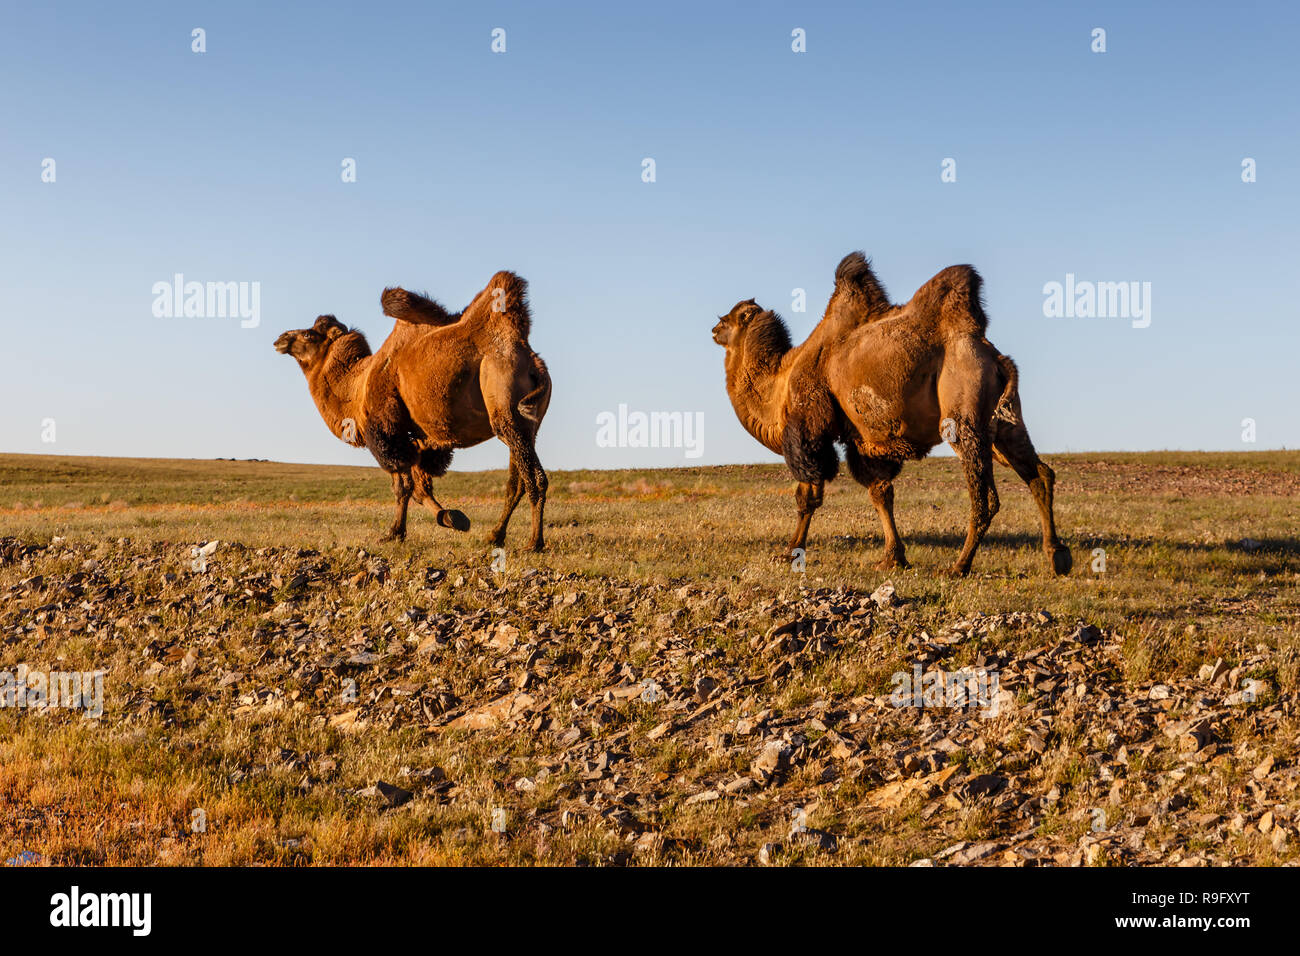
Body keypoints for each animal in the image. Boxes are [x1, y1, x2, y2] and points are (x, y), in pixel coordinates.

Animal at [276, 270, 551, 554]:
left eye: (308, 335)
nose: (281, 339)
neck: (358, 385)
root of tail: (533, 362)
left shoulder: (387, 432)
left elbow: (403, 486)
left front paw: (395, 533)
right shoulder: (421, 440)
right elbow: (420, 488)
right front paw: (453, 518)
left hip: (505, 409)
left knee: (535, 479)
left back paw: (534, 542)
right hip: (524, 425)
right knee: (516, 483)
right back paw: (495, 535)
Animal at [717, 251, 1071, 574]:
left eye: (728, 319)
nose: (712, 329)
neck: (782, 380)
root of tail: (994, 356)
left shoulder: (808, 431)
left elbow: (808, 497)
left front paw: (790, 553)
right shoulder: (863, 441)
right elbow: (881, 493)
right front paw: (892, 558)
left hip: (963, 415)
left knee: (985, 498)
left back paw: (959, 566)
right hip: (1004, 423)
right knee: (1040, 474)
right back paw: (1057, 557)